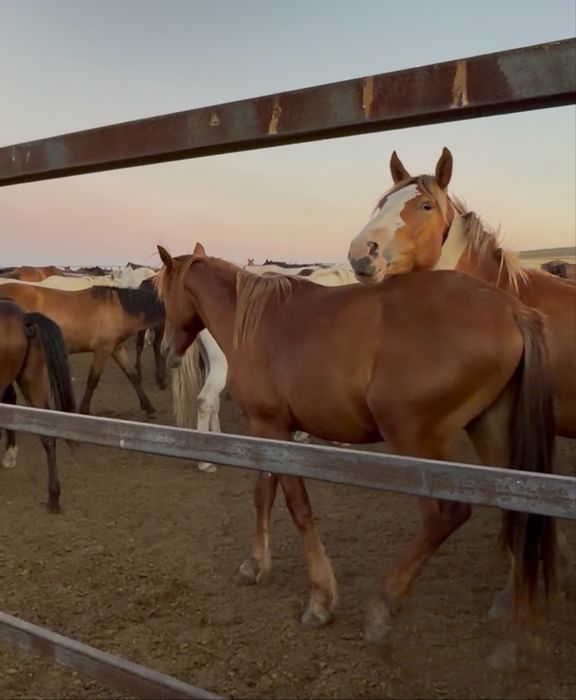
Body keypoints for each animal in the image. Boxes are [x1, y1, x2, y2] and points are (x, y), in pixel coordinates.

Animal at [0, 283, 163, 417]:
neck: (119, 310)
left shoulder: (117, 348)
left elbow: (133, 375)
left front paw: (149, 407)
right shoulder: (103, 349)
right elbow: (93, 379)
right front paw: (84, 409)